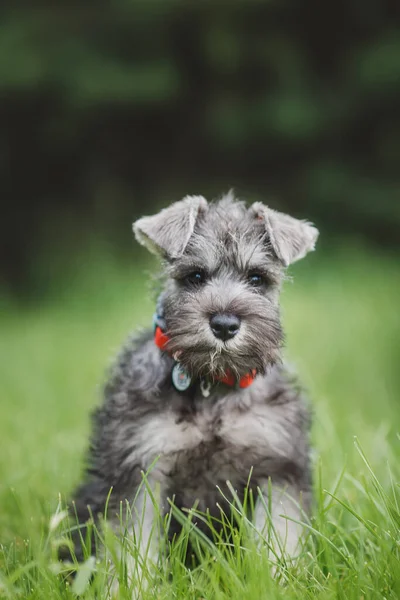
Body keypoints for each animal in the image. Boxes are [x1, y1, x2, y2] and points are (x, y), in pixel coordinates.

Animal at [67, 193, 320, 592]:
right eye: (195, 276)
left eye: (257, 278)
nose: (225, 324)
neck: (212, 384)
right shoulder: (141, 469)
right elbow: (133, 542)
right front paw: (133, 588)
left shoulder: (279, 468)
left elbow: (280, 535)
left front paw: (275, 581)